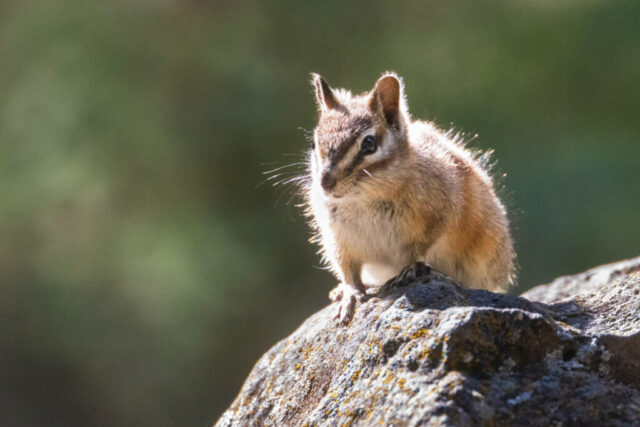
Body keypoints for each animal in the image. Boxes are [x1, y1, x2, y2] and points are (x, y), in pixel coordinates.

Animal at [303, 72, 515, 324]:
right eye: (314, 144)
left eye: (369, 144)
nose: (325, 182)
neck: (363, 198)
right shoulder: (337, 239)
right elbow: (348, 271)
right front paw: (349, 294)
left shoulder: (441, 213)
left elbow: (419, 247)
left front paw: (410, 268)